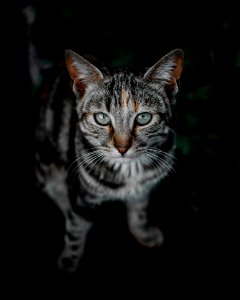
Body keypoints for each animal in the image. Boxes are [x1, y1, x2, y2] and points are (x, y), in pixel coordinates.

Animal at [34, 48, 184, 274]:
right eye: (102, 118)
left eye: (144, 118)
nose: (122, 148)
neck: (128, 169)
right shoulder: (80, 191)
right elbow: (75, 229)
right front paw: (69, 262)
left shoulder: (143, 187)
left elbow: (139, 210)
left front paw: (143, 232)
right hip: (46, 158)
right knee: (55, 189)